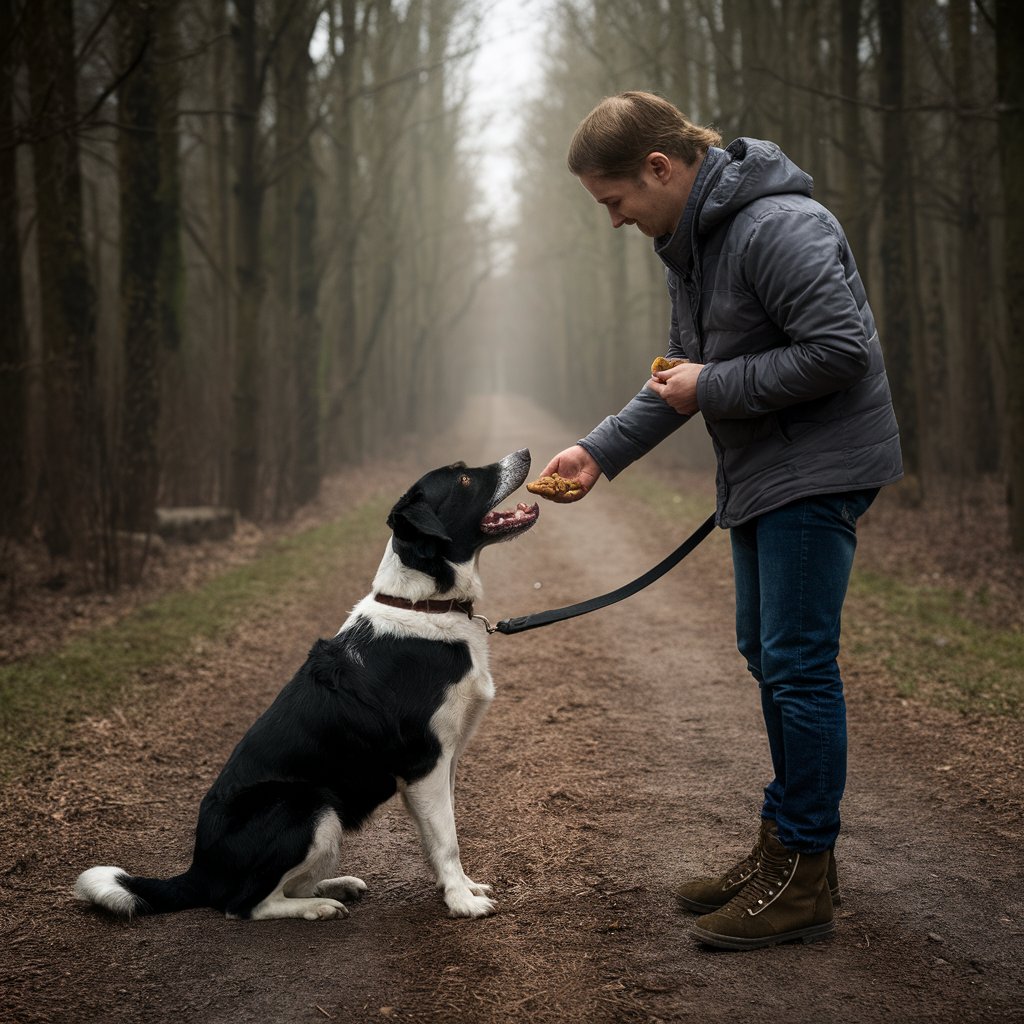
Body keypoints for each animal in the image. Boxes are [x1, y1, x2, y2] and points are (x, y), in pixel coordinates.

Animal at [75, 448, 540, 921]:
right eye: (463, 479)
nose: (524, 454)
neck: (424, 603)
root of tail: (199, 869)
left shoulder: (446, 760)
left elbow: (441, 836)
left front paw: (461, 888)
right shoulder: (425, 761)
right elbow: (447, 840)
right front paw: (461, 901)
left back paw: (335, 886)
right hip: (311, 806)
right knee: (244, 904)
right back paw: (319, 906)